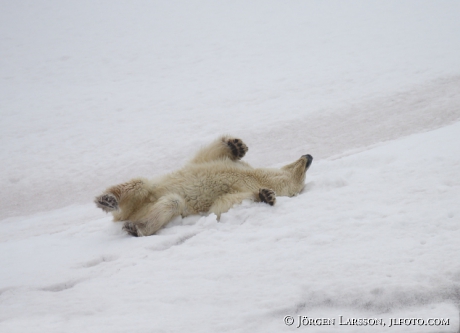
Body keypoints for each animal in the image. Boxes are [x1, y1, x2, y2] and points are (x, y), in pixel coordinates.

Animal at [95, 135, 314, 236]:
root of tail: (130, 213)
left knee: (170, 203)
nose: (309, 156)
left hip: (147, 207)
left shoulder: (239, 189)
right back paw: (107, 199)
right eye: (303, 169)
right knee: (138, 184)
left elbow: (222, 205)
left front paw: (266, 196)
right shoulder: (233, 166)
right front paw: (237, 145)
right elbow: (208, 155)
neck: (257, 177)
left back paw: (136, 227)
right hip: (149, 190)